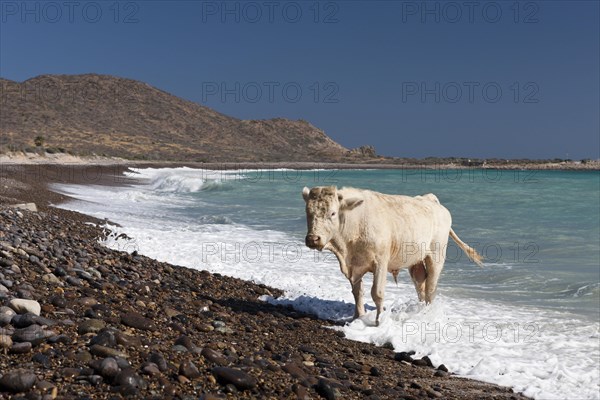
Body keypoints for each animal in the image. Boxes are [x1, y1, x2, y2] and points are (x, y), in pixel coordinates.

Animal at [300, 187, 482, 324]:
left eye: (332, 213)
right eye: (308, 212)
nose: (313, 238)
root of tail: (430, 200)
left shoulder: (380, 262)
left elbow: (377, 293)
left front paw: (379, 322)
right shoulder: (354, 266)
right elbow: (357, 292)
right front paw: (358, 317)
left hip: (436, 256)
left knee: (431, 287)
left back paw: (428, 314)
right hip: (415, 260)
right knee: (421, 284)